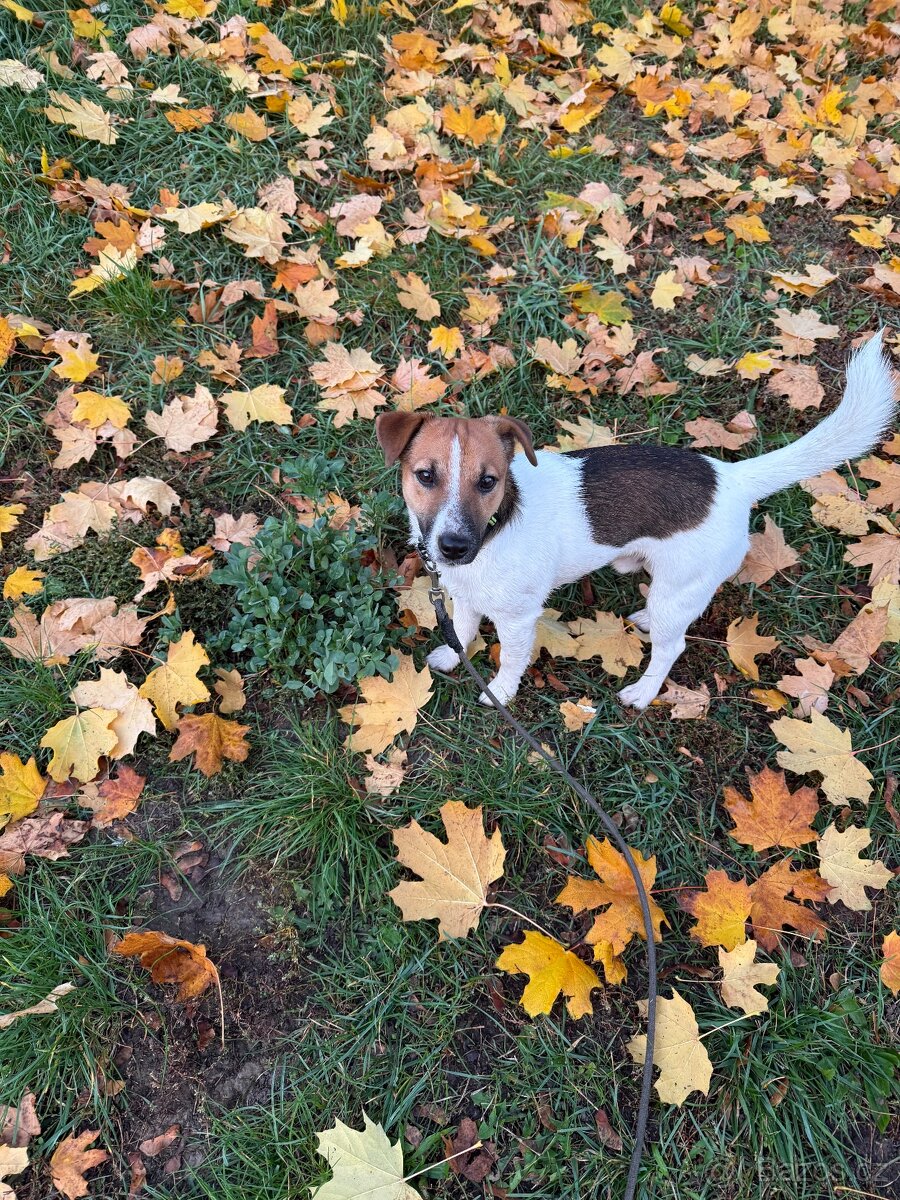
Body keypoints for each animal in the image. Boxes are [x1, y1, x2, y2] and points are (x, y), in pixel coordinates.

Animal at [376, 333, 897, 710]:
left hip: (681, 586)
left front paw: (499, 693)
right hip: (673, 586)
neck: (494, 531)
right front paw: (452, 656)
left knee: (673, 647)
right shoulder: (463, 596)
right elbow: (462, 630)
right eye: (425, 476)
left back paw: (644, 693)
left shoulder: (519, 618)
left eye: (488, 482)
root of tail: (731, 478)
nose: (453, 548)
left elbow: (511, 660)